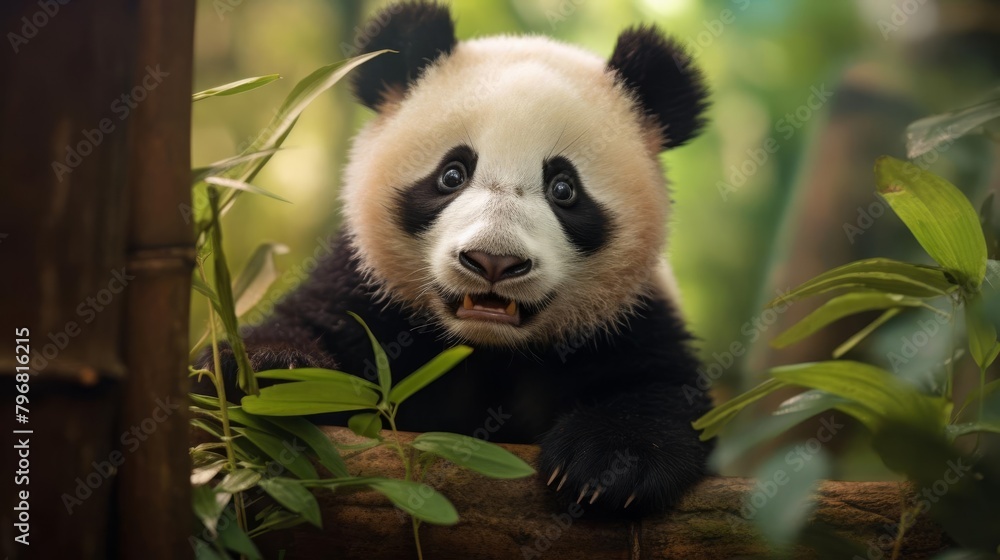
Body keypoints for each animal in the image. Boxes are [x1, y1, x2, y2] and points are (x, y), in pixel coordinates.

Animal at [203, 0, 713, 516]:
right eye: (452, 174)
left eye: (564, 188)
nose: (493, 261)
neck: (486, 349)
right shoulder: (365, 288)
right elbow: (297, 332)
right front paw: (273, 372)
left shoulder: (631, 316)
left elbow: (660, 391)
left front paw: (606, 461)